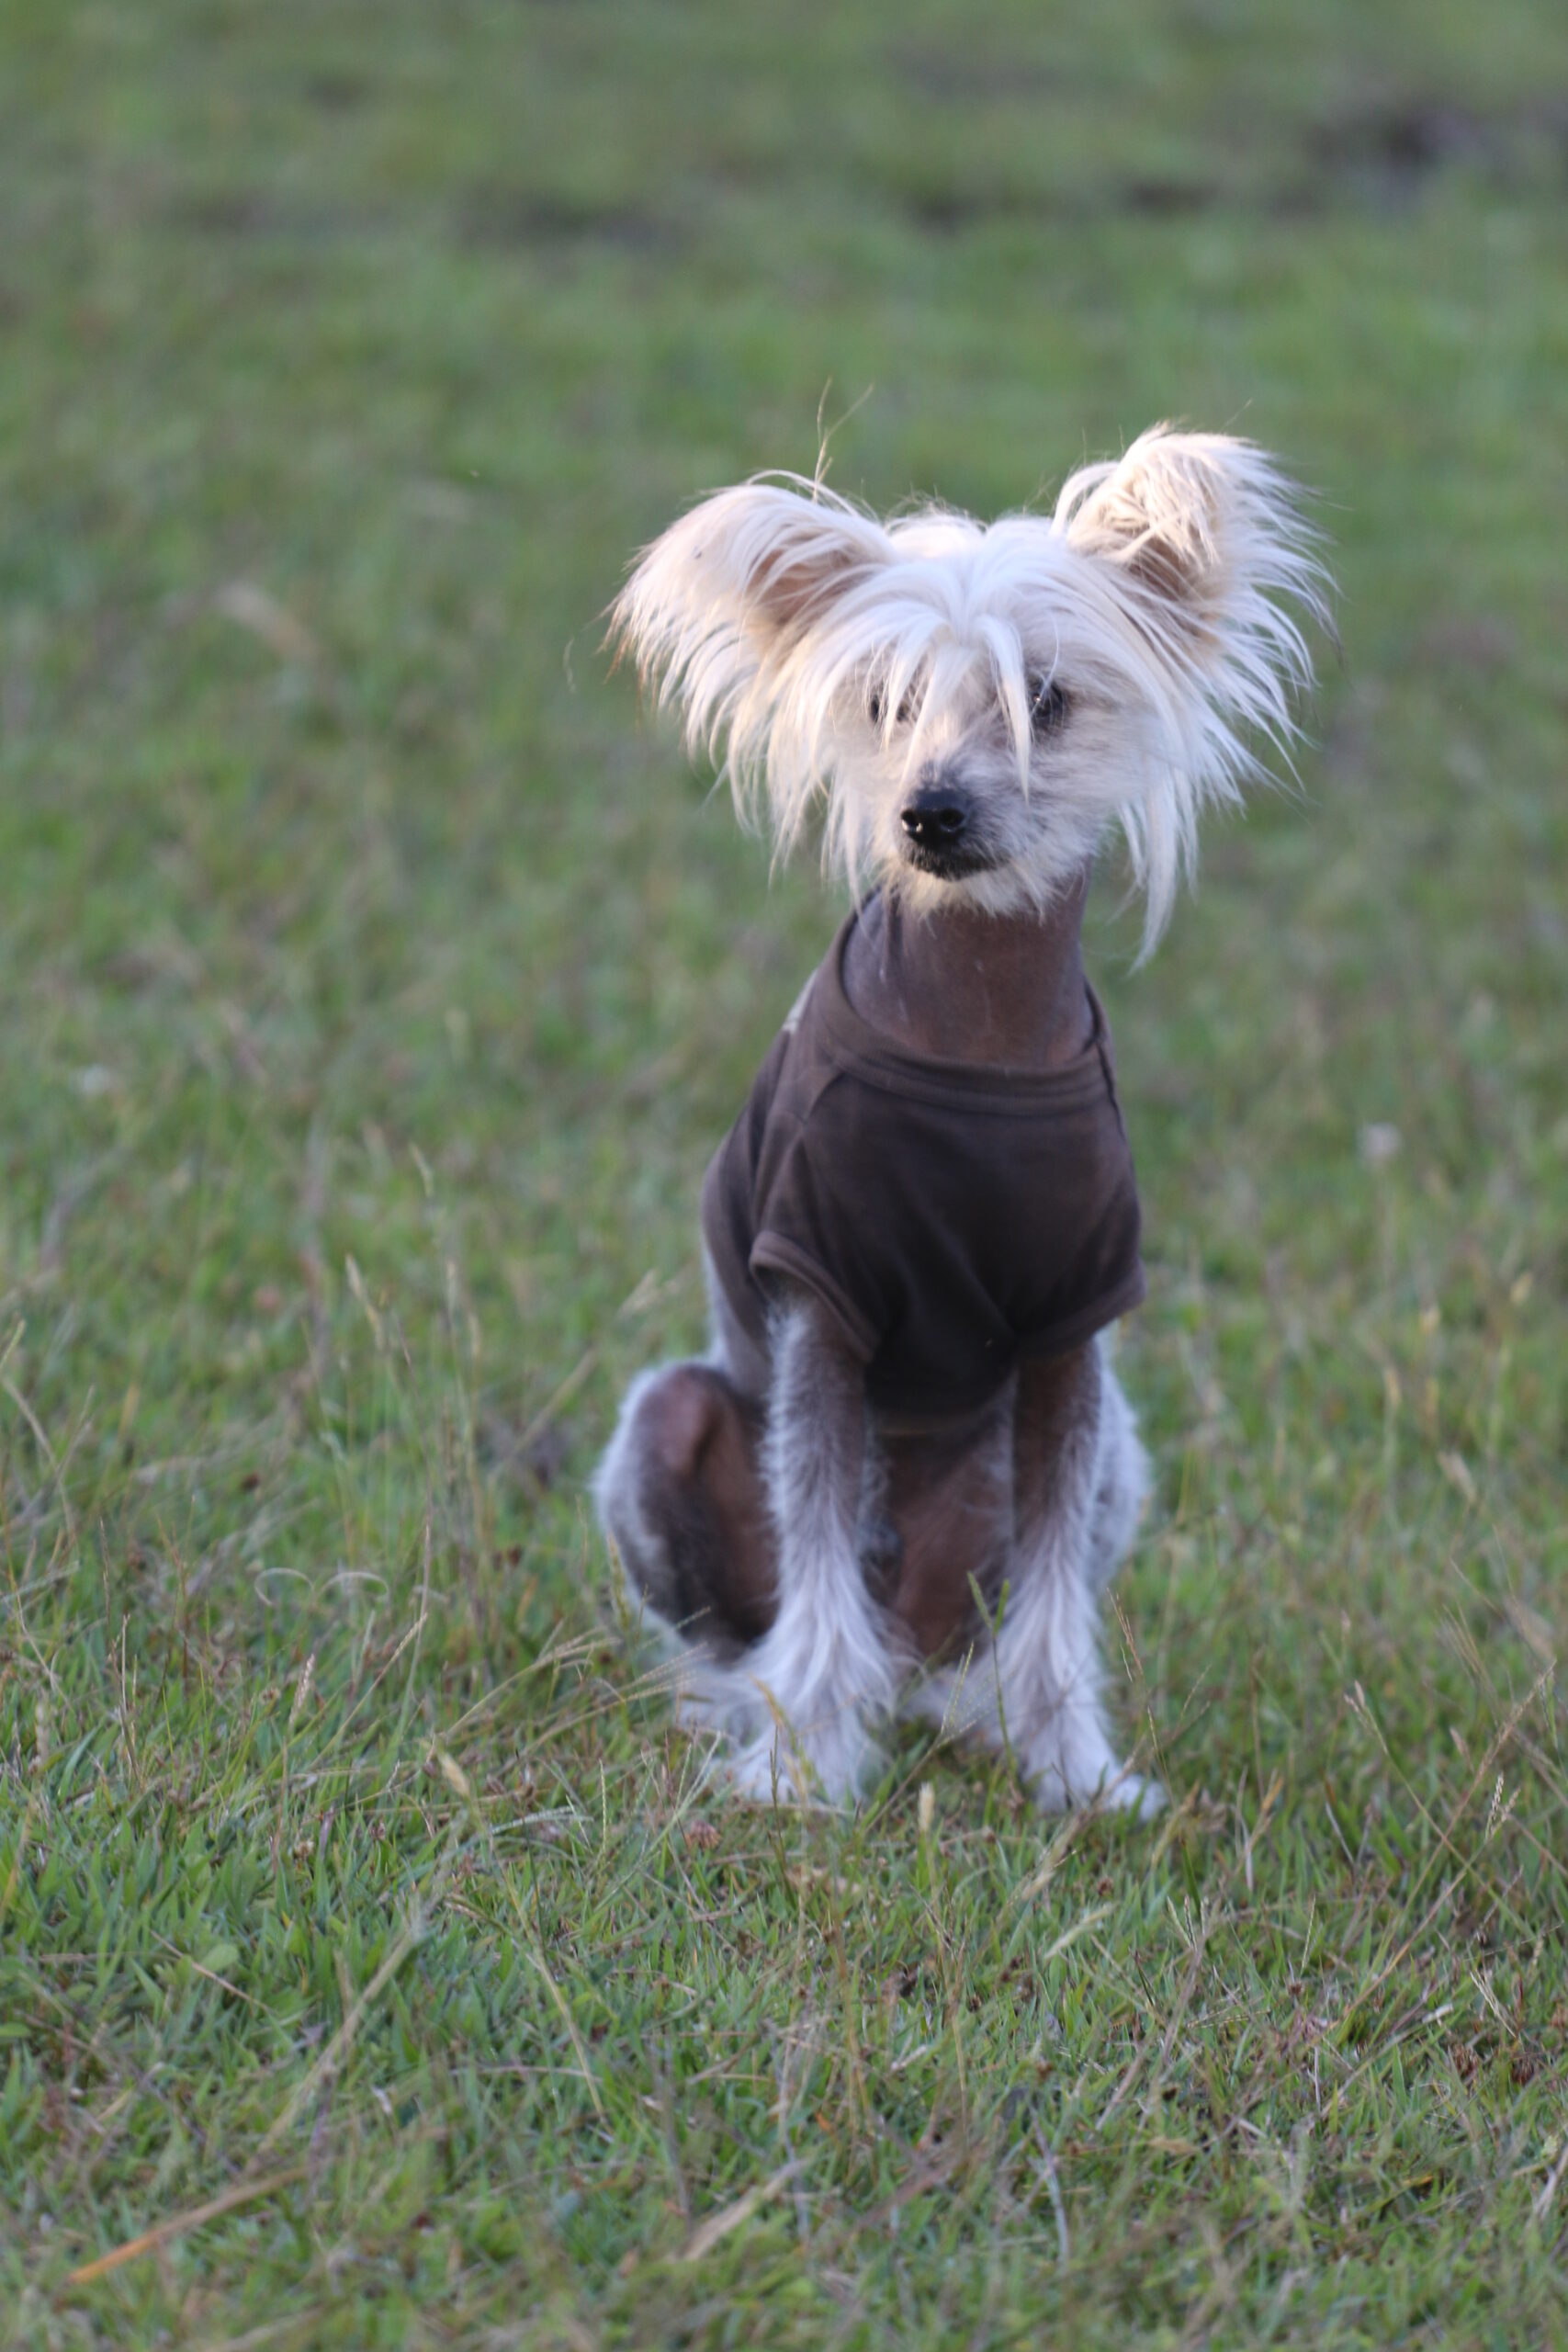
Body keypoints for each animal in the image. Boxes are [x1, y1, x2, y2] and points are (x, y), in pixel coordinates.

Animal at [596, 426, 1330, 1808]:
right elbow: (817, 1553)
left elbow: (1050, 1596)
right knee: (745, 1619)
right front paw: (805, 1768)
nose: (928, 811)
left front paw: (1073, 1772)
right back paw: (750, 1702)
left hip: (1110, 1463)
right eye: (886, 704)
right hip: (662, 1426)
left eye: (1044, 701)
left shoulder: (1071, 1336)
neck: (976, 1030)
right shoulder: (820, 1306)